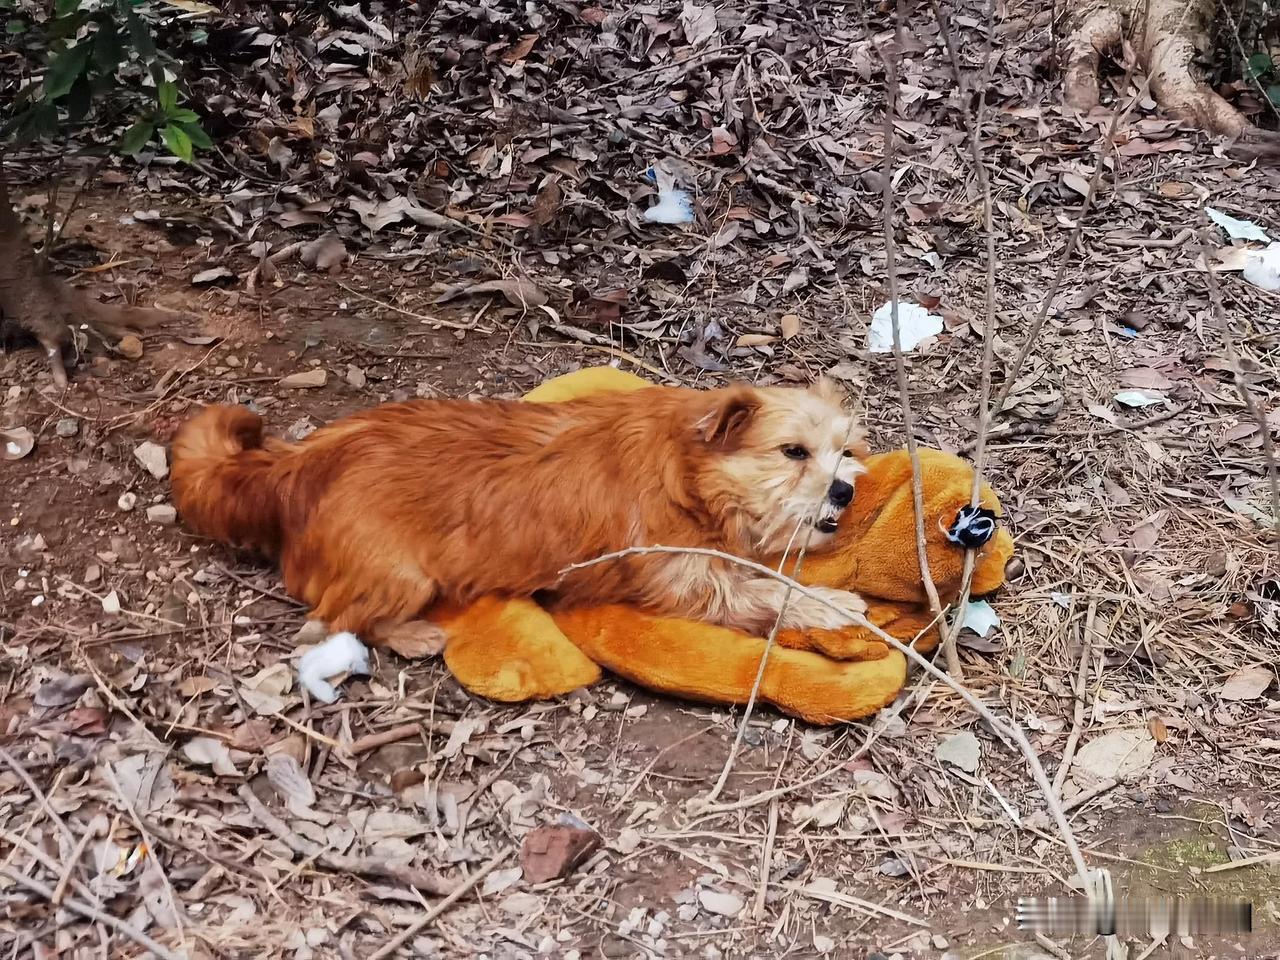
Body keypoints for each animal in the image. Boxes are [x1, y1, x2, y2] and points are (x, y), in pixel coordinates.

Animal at [170, 378, 870, 680]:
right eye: (792, 452)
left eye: (844, 449)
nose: (846, 489)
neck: (685, 467)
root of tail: (293, 466)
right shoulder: (693, 583)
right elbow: (774, 591)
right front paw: (839, 603)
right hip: (399, 575)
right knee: (328, 620)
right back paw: (415, 634)